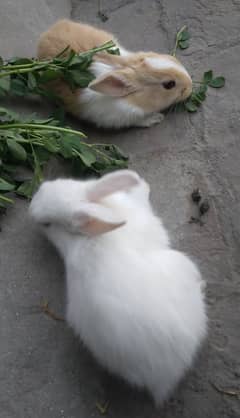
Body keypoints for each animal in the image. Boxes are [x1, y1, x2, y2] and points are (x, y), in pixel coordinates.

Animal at [37, 19, 193, 129]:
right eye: (169, 84)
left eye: (171, 58)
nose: (190, 86)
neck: (135, 99)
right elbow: (140, 120)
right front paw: (156, 118)